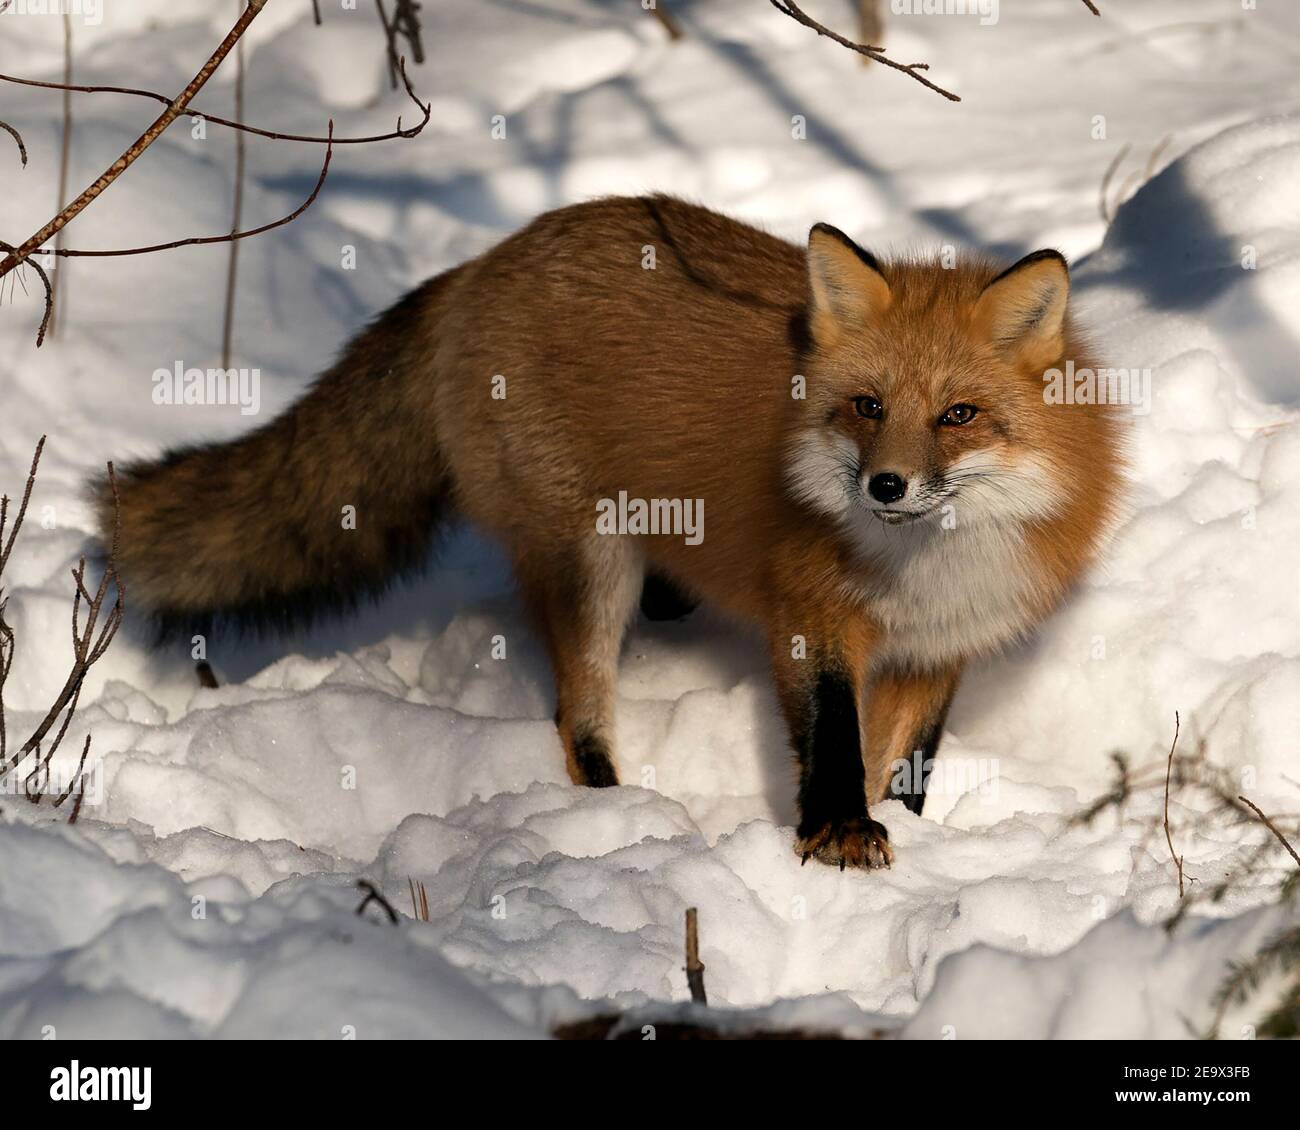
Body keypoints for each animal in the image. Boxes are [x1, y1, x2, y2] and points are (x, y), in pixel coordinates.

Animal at [98, 193, 1118, 868]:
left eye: (959, 416)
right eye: (867, 406)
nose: (886, 485)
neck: (930, 564)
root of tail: (488, 260)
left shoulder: (941, 648)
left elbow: (902, 764)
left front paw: (891, 832)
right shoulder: (813, 617)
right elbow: (833, 739)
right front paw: (832, 834)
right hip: (588, 561)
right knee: (576, 716)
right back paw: (616, 821)